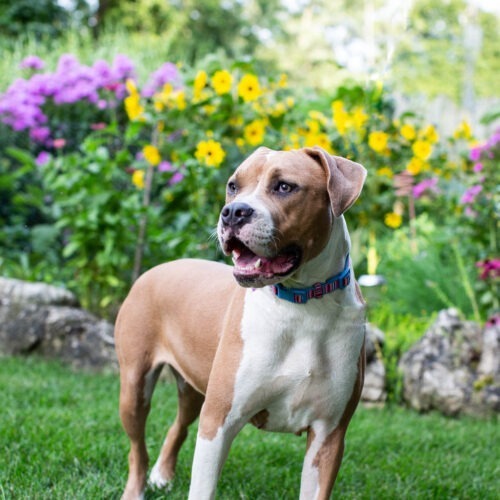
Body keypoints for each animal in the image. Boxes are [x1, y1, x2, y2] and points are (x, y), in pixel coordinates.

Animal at [115, 146, 370, 500]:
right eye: (233, 186)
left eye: (285, 187)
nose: (233, 212)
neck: (303, 305)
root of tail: (156, 268)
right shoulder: (218, 421)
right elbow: (202, 488)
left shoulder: (328, 435)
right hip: (135, 388)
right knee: (136, 448)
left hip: (193, 388)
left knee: (178, 425)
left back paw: (163, 474)